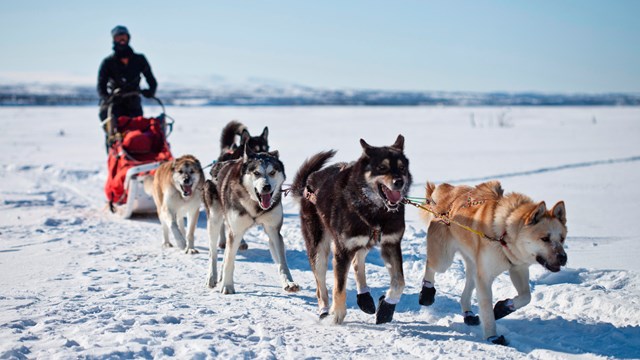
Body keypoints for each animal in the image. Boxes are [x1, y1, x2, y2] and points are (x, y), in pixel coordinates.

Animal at [201, 145, 298, 294]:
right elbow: (229, 260)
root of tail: (218, 166)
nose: (266, 187)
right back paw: (212, 277)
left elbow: (282, 262)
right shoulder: (236, 231)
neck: (255, 204)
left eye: (272, 172)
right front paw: (227, 286)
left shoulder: (273, 231)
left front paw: (289, 282)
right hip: (214, 221)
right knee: (213, 252)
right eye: (256, 173)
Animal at [292, 136, 412, 326]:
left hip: (365, 242)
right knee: (321, 285)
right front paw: (337, 314)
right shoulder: (342, 250)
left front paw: (386, 307)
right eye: (382, 167)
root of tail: (308, 183)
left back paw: (364, 298)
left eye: (402, 168)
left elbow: (399, 282)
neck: (376, 212)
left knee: (357, 262)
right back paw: (325, 311)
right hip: (319, 249)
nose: (399, 182)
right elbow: (339, 287)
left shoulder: (391, 243)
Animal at [418, 181, 568, 344]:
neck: (503, 234)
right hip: (443, 260)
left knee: (466, 291)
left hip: (473, 267)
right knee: (430, 266)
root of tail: (447, 191)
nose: (563, 258)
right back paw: (426, 293)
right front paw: (492, 336)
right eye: (545, 238)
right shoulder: (484, 278)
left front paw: (503, 308)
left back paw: (468, 314)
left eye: (562, 239)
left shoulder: (518, 268)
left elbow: (526, 296)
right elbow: (487, 310)